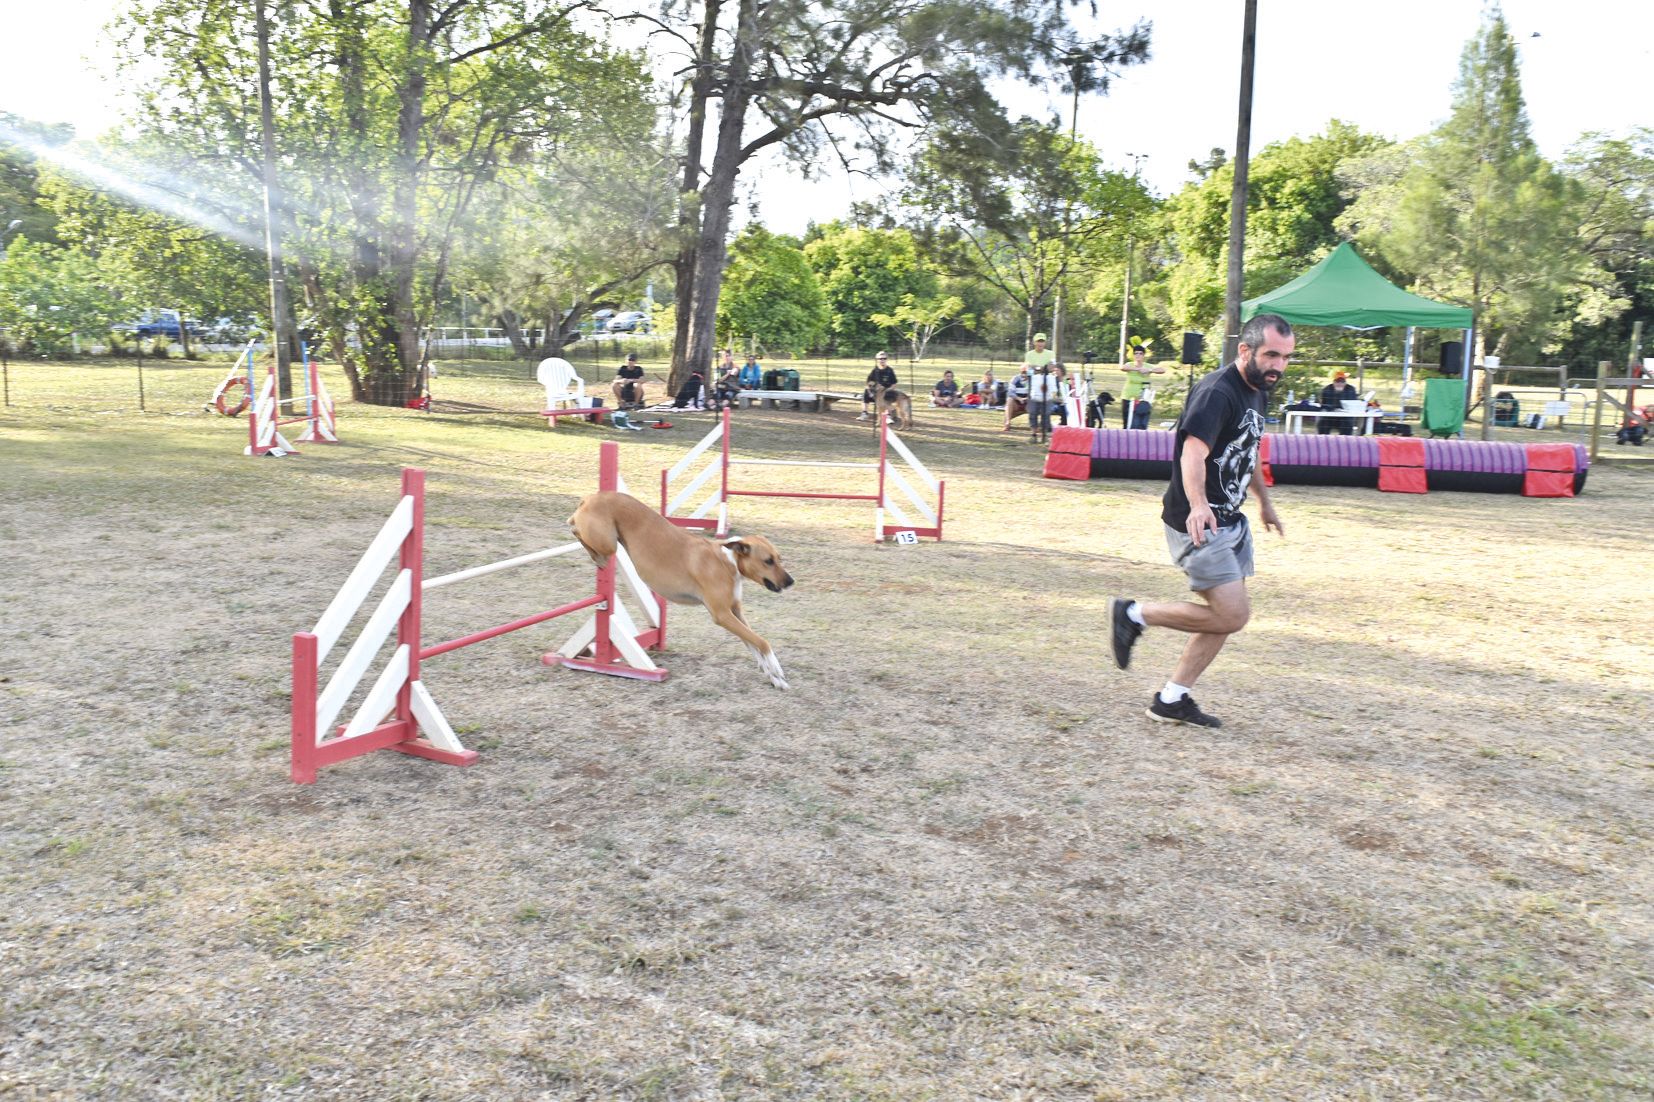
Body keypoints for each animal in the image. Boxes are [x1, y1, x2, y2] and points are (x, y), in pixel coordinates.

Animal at [572, 489, 797, 688]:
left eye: (779, 558)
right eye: (768, 561)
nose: (791, 581)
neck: (729, 562)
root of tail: (591, 497)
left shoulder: (735, 611)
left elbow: (752, 642)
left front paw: (773, 676)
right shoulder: (723, 615)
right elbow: (762, 641)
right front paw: (776, 669)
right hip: (609, 543)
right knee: (575, 529)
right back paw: (594, 553)